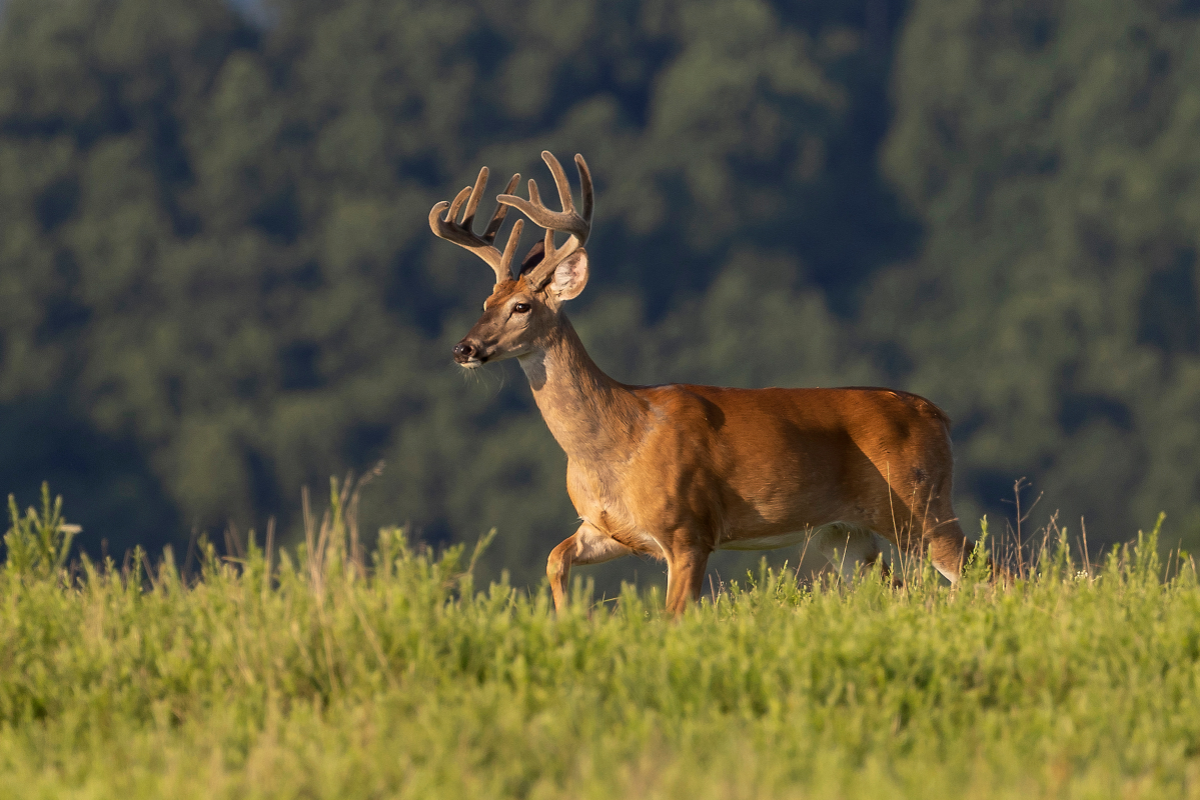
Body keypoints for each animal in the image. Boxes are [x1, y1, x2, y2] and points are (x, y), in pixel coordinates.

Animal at [432, 151, 974, 614]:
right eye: (485, 302)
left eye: (522, 306)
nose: (464, 349)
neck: (618, 442)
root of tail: (938, 415)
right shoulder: (608, 528)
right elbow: (554, 558)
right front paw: (568, 623)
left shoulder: (688, 530)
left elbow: (675, 617)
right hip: (843, 534)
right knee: (900, 590)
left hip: (919, 505)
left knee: (980, 573)